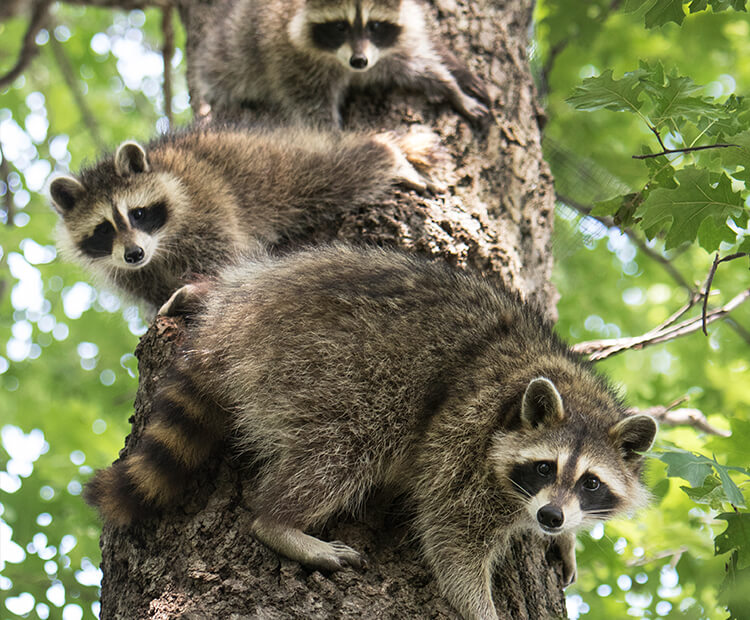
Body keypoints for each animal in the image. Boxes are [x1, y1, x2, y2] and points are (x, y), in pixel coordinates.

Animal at [48, 124, 440, 312]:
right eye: (104, 229)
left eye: (139, 213)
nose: (133, 254)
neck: (159, 246)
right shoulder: (128, 271)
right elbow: (148, 286)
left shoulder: (205, 203)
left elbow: (226, 260)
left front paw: (199, 289)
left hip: (270, 169)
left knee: (333, 174)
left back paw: (385, 153)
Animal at [83, 247, 656, 620]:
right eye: (544, 467)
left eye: (590, 482)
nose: (551, 517)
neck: (572, 391)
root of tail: (229, 324)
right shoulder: (464, 443)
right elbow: (451, 539)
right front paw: (482, 607)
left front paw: (563, 538)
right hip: (326, 365)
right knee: (348, 445)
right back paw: (280, 522)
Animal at [197, 0, 494, 124]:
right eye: (340, 26)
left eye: (375, 25)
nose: (359, 61)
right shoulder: (291, 61)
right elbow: (313, 111)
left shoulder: (383, 53)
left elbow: (417, 66)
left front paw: (451, 88)